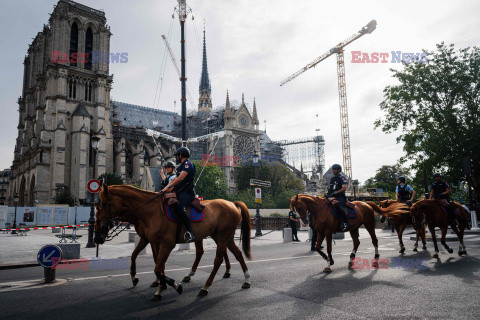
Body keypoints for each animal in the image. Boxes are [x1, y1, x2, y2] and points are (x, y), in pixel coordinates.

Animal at [93, 185, 251, 300]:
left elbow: (157, 267)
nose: (97, 238)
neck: (149, 212)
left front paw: (170, 285)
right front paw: (158, 285)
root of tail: (232, 204)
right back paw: (246, 279)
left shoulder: (167, 244)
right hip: (223, 236)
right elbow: (150, 262)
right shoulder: (151, 240)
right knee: (236, 254)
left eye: (104, 204)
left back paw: (205, 287)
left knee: (218, 259)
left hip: (222, 236)